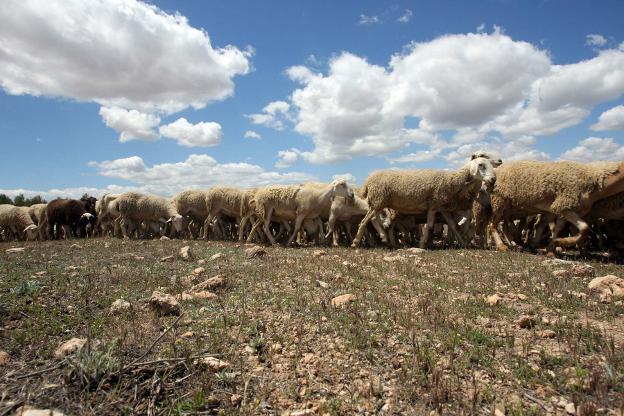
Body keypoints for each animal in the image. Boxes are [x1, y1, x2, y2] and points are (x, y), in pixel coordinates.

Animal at [488, 161, 624, 252]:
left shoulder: (562, 209)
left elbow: (558, 228)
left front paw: (550, 246)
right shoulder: (563, 205)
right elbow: (584, 228)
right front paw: (560, 243)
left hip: (509, 208)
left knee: (505, 226)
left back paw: (514, 243)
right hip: (499, 201)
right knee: (493, 226)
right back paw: (502, 245)